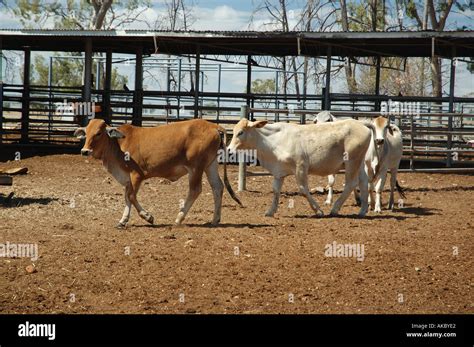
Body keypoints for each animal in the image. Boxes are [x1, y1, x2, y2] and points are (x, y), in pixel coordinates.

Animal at [76, 118, 244, 230]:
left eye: (98, 133)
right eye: (86, 133)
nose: (85, 151)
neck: (118, 144)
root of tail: (214, 125)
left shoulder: (137, 174)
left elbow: (131, 196)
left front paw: (148, 217)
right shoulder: (127, 178)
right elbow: (127, 197)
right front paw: (122, 221)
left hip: (195, 167)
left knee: (195, 190)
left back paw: (179, 218)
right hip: (210, 165)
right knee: (217, 187)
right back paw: (215, 219)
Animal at [228, 119, 376, 218]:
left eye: (240, 132)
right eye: (233, 131)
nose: (229, 150)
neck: (273, 141)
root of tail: (361, 124)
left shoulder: (301, 167)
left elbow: (303, 189)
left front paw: (318, 211)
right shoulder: (278, 172)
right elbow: (276, 190)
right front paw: (270, 211)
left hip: (351, 161)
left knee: (351, 183)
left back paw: (334, 209)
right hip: (359, 163)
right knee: (363, 181)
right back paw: (362, 211)